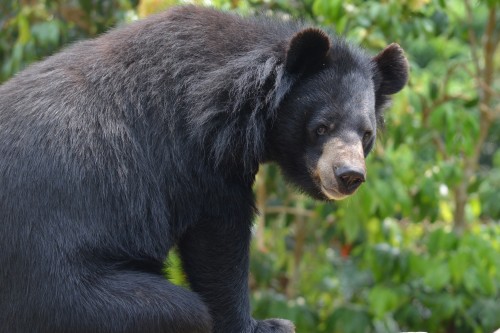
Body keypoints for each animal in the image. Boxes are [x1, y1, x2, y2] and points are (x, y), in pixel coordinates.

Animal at [0, 5, 406, 332]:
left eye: (366, 134)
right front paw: (263, 324)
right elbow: (218, 238)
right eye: (321, 127)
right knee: (178, 311)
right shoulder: (197, 155)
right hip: (61, 286)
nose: (348, 176)